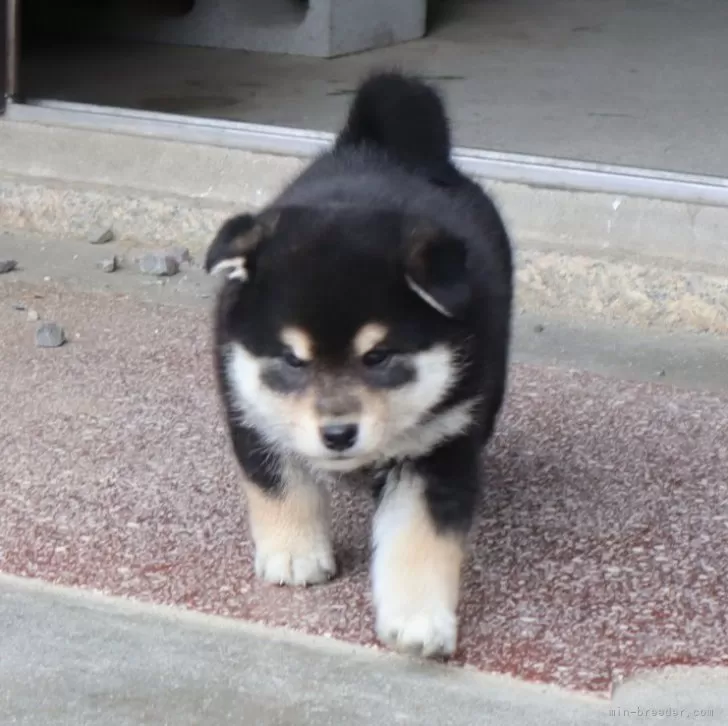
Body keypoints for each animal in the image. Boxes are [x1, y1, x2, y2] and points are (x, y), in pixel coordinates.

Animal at [205, 72, 512, 660]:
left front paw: (418, 619)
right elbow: (279, 484)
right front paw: (295, 552)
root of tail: (383, 146)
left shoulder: (439, 444)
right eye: (292, 360)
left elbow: (418, 538)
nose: (338, 434)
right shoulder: (251, 407)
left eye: (378, 357)